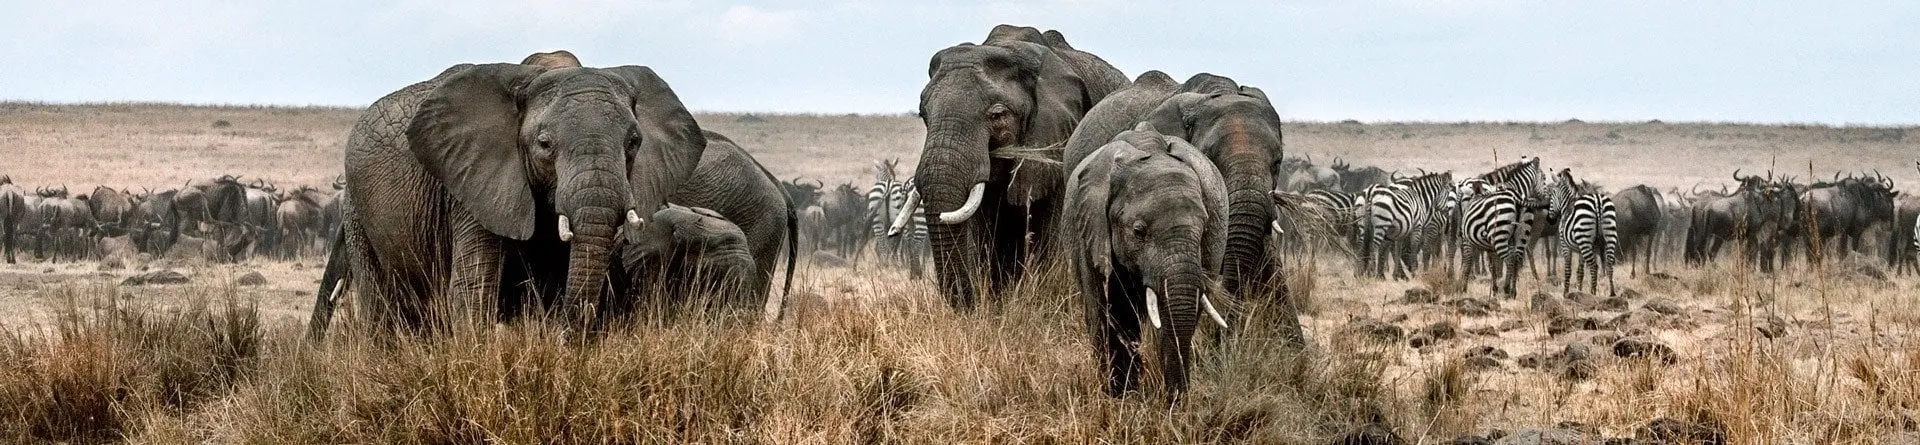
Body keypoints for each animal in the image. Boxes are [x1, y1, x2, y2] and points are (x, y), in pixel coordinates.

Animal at [311, 53, 710, 337]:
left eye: (634, 142)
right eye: (544, 144)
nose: (569, 339)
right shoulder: (470, 184)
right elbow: (475, 289)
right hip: (357, 212)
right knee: (383, 312)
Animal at [1067, 122, 1228, 398]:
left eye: (1204, 227)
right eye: (1138, 231)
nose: (1177, 401)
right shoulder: (1089, 229)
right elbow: (1105, 311)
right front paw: (1120, 399)